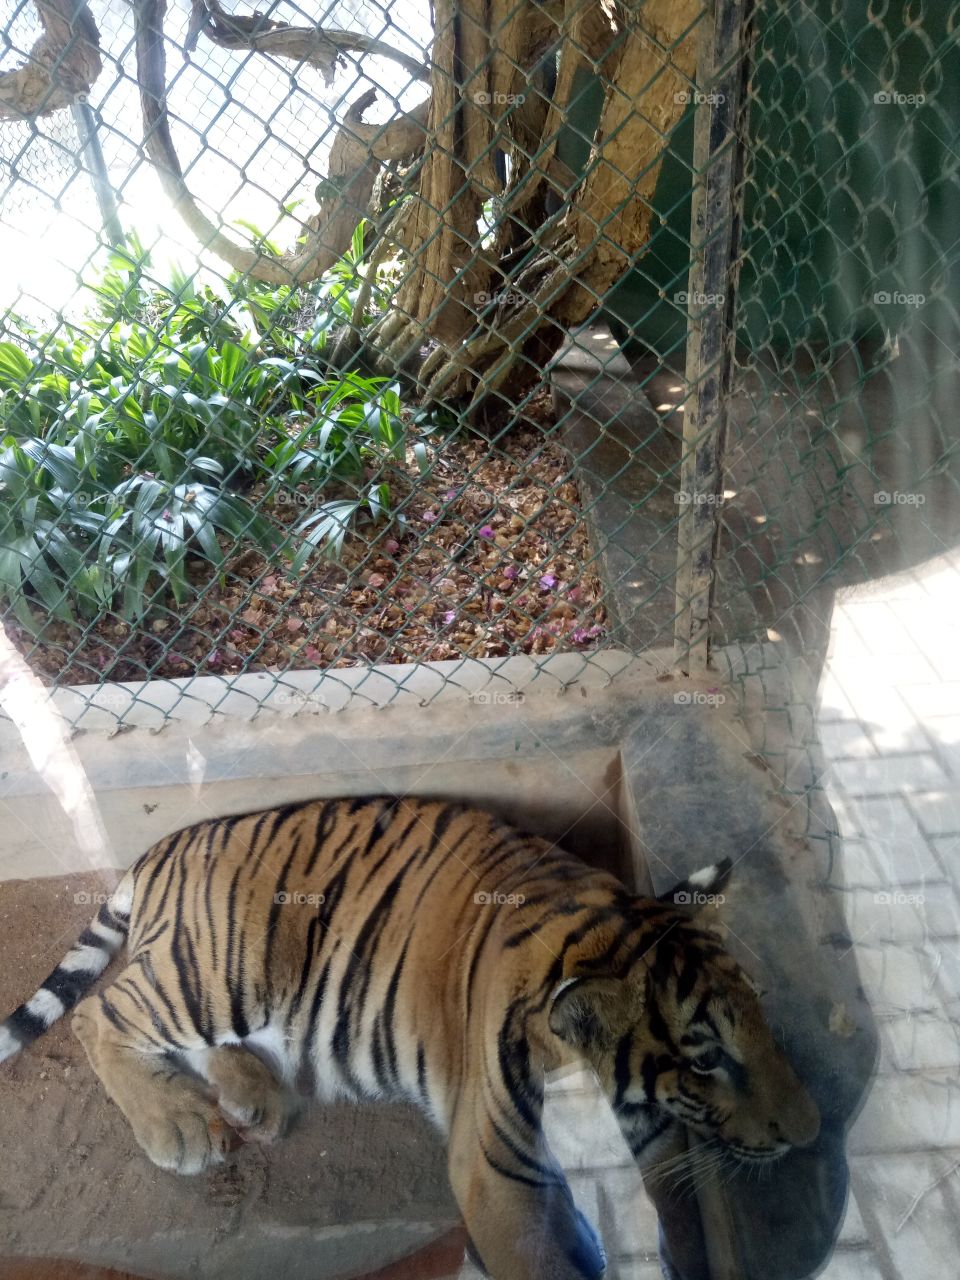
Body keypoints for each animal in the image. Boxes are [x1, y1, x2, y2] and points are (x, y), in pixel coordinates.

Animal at [0, 795, 819, 1280]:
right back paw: (180, 1127)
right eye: (707, 1060)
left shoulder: (643, 1169)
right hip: (222, 968)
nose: (811, 1132)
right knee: (102, 1012)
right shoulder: (498, 1177)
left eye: (764, 1020)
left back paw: (254, 1101)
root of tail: (165, 844)